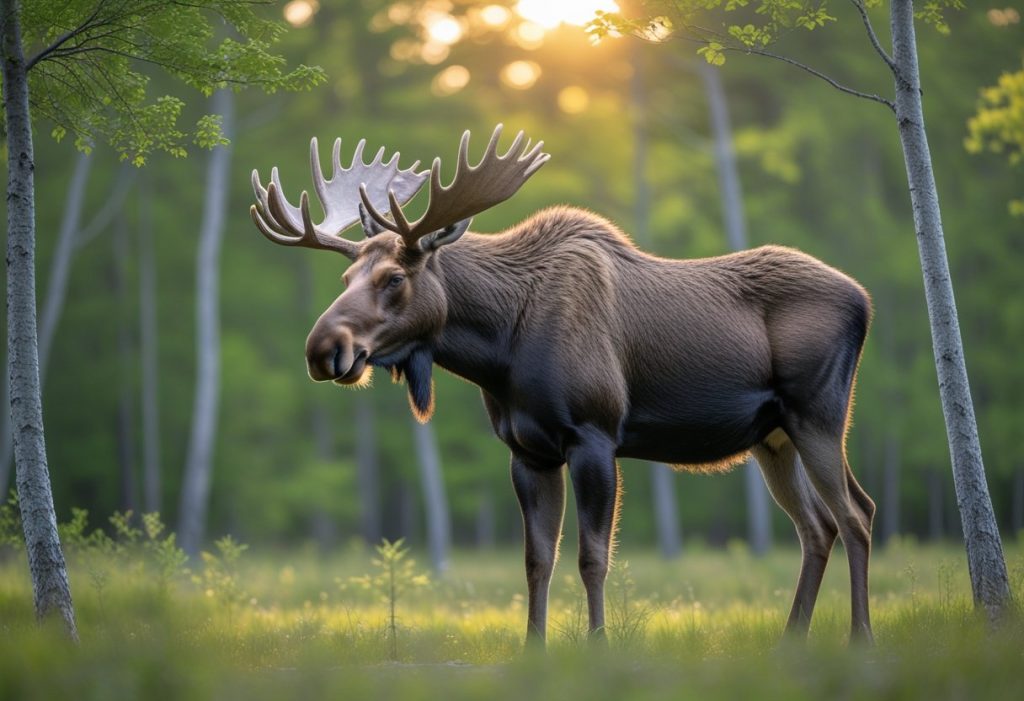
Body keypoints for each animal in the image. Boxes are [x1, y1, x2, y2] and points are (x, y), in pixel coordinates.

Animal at [250, 125, 876, 645]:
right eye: (346, 276)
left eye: (394, 277)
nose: (322, 349)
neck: (502, 345)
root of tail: (865, 301)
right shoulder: (528, 450)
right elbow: (537, 560)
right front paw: (535, 648)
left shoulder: (594, 435)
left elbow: (593, 556)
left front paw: (598, 645)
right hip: (773, 437)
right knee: (817, 527)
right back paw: (792, 638)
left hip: (818, 413)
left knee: (856, 515)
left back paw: (860, 637)